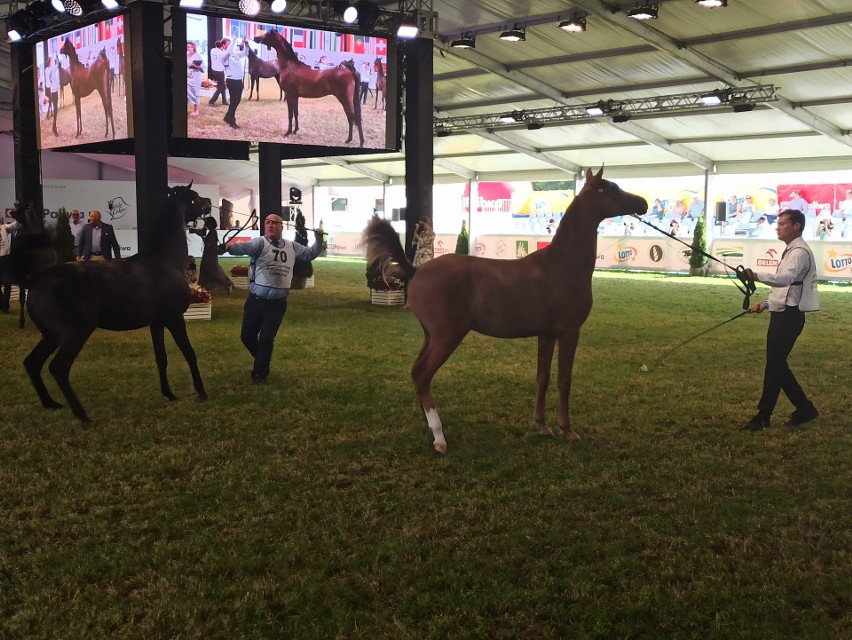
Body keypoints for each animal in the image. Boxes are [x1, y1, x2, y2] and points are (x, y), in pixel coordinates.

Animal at [21, 182, 211, 422]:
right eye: (195, 197)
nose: (209, 202)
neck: (165, 260)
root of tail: (35, 281)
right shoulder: (174, 319)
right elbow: (189, 353)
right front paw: (201, 392)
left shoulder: (156, 323)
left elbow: (161, 357)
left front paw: (169, 394)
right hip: (75, 333)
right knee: (59, 368)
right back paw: (83, 416)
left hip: (51, 337)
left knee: (32, 363)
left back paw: (51, 404)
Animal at [362, 168, 648, 452]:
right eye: (610, 188)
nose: (642, 203)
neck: (562, 264)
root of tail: (416, 269)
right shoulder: (569, 332)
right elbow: (564, 380)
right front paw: (568, 430)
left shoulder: (547, 334)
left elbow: (543, 377)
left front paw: (543, 426)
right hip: (446, 336)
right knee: (422, 374)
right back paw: (439, 436)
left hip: (430, 336)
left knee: (417, 373)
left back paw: (429, 426)